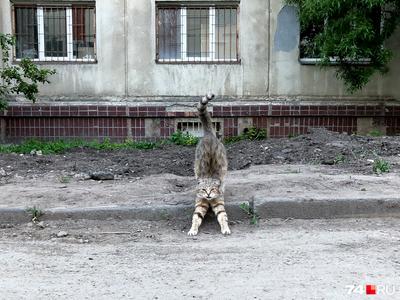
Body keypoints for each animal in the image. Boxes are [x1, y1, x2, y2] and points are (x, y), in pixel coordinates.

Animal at [188, 92, 231, 236]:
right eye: (204, 190)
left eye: (212, 189)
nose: (207, 194)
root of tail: (209, 135)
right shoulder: (200, 203)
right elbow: (196, 217)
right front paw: (193, 229)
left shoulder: (218, 202)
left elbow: (223, 217)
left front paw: (225, 228)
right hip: (196, 166)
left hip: (224, 166)